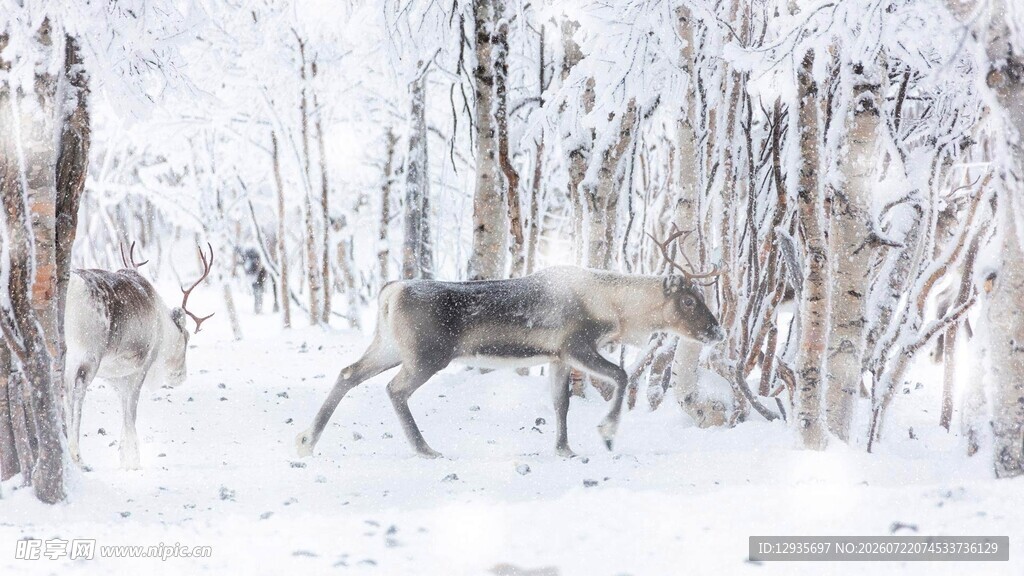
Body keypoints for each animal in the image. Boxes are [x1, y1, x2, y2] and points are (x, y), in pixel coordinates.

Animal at [63, 242, 214, 470]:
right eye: (186, 337)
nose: (181, 376)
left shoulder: (116, 377)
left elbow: (125, 410)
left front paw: (123, 456)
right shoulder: (141, 367)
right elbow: (131, 414)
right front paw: (133, 461)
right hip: (86, 355)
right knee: (77, 390)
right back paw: (77, 456)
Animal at [297, 228, 724, 459]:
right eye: (689, 300)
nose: (717, 332)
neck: (617, 309)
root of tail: (389, 291)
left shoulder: (557, 356)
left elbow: (560, 403)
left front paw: (565, 449)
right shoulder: (577, 344)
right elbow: (620, 375)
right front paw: (606, 433)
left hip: (388, 347)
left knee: (349, 372)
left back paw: (306, 441)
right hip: (427, 355)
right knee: (394, 389)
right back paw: (425, 449)